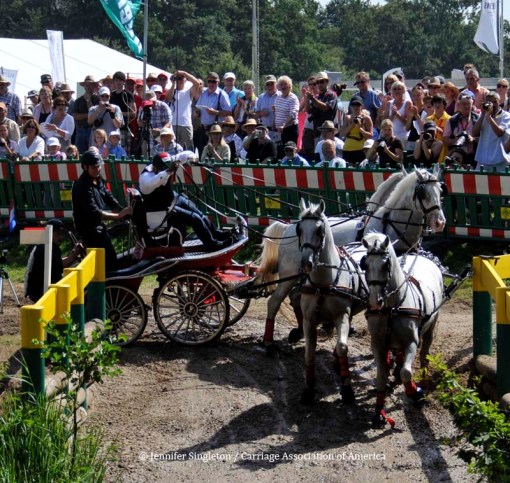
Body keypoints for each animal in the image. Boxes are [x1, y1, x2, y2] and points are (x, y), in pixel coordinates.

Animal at [258, 166, 447, 346]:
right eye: (423, 193)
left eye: (440, 190)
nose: (440, 222)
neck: (392, 226)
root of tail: (287, 227)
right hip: (289, 274)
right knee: (275, 301)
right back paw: (269, 340)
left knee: (294, 298)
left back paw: (299, 331)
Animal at [296, 199, 365, 404]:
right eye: (299, 229)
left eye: (320, 230)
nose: (306, 263)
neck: (323, 284)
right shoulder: (309, 320)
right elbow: (309, 352)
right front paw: (309, 389)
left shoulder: (341, 315)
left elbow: (343, 347)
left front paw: (347, 389)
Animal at [360, 233, 444, 429]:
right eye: (364, 264)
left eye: (386, 265)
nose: (375, 301)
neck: (392, 308)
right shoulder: (377, 342)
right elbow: (381, 375)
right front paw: (379, 410)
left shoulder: (411, 342)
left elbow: (407, 373)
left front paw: (415, 392)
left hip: (431, 325)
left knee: (424, 354)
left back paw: (423, 380)